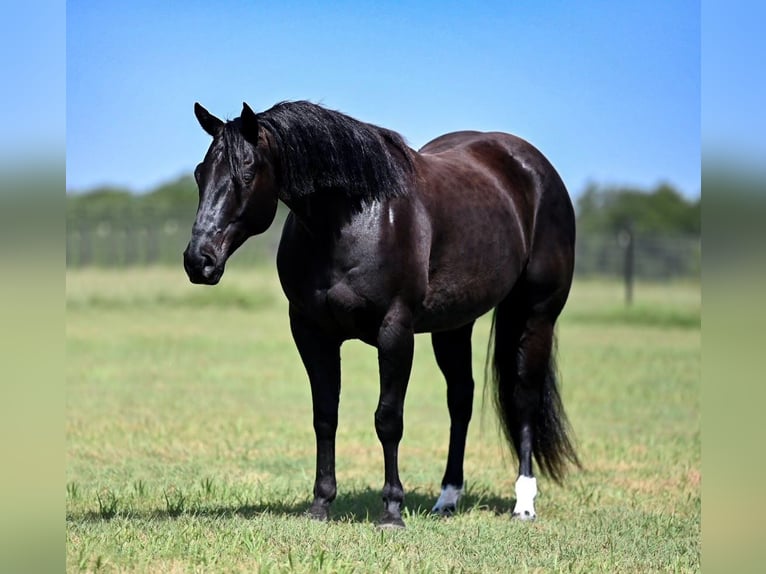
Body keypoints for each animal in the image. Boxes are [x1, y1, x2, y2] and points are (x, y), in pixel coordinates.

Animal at [184, 101, 584, 528]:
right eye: (200, 173)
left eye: (246, 172)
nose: (198, 261)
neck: (349, 221)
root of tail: (532, 166)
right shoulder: (311, 332)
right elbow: (325, 416)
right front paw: (321, 504)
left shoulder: (395, 332)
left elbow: (388, 419)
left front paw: (392, 509)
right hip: (454, 325)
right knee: (460, 399)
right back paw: (447, 499)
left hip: (536, 314)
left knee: (523, 397)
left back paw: (523, 503)